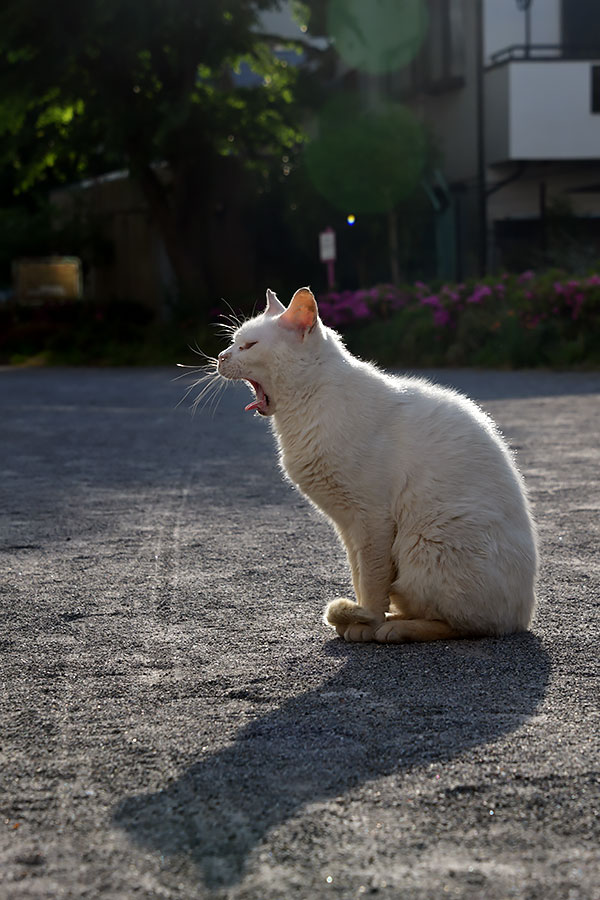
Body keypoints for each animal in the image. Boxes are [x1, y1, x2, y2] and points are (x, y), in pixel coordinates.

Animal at [216, 284, 540, 644]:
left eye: (248, 345)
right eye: (234, 342)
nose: (221, 357)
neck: (303, 410)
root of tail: (522, 618)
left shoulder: (372, 520)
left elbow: (371, 582)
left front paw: (365, 622)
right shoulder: (348, 525)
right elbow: (360, 576)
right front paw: (358, 619)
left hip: (424, 542)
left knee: (465, 625)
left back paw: (394, 628)